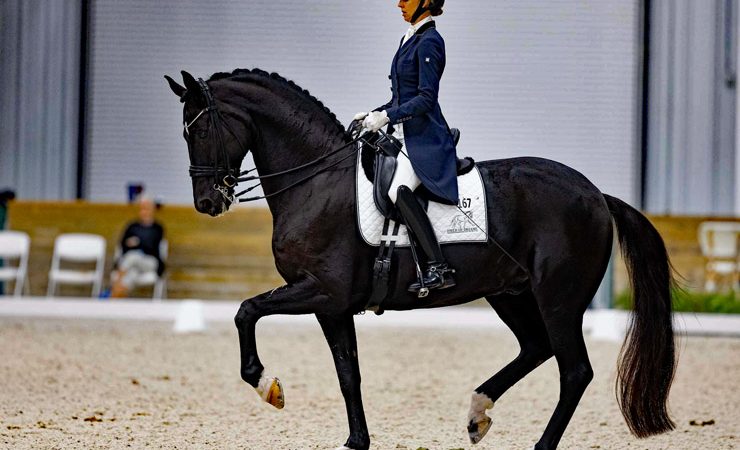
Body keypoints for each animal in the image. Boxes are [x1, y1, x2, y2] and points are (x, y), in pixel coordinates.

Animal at [166, 69, 676, 450]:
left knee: (574, 371)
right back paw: (477, 413)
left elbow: (246, 310)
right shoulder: (332, 306)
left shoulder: (320, 290)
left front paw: (265, 384)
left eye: (202, 128)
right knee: (536, 347)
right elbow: (348, 374)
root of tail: (595, 194)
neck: (316, 181)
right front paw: (356, 441)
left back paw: (538, 444)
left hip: (560, 299)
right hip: (510, 292)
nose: (207, 202)